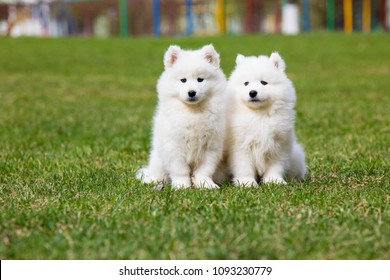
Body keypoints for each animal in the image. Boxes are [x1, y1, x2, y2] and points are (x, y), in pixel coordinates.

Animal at [137, 44, 229, 189]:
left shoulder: (210, 147)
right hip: (158, 159)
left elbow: (204, 170)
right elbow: (180, 170)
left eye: (200, 79)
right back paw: (151, 180)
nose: (191, 92)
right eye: (183, 80)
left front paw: (205, 184)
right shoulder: (174, 147)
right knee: (158, 173)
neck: (193, 111)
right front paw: (182, 186)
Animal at [227, 52, 306, 187]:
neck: (259, 115)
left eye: (264, 82)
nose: (252, 92)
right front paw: (247, 183)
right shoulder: (241, 146)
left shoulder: (279, 145)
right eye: (246, 83)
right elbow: (244, 167)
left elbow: (276, 166)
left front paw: (274, 181)